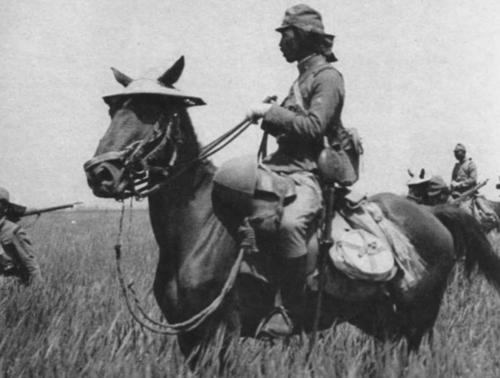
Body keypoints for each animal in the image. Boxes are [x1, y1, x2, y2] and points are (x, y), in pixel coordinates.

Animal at [84, 56, 500, 360]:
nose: (100, 172)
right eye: (114, 110)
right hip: (382, 321)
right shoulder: (188, 336)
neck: (198, 227)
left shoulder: (220, 332)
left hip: (417, 322)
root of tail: (432, 216)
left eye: (154, 110)